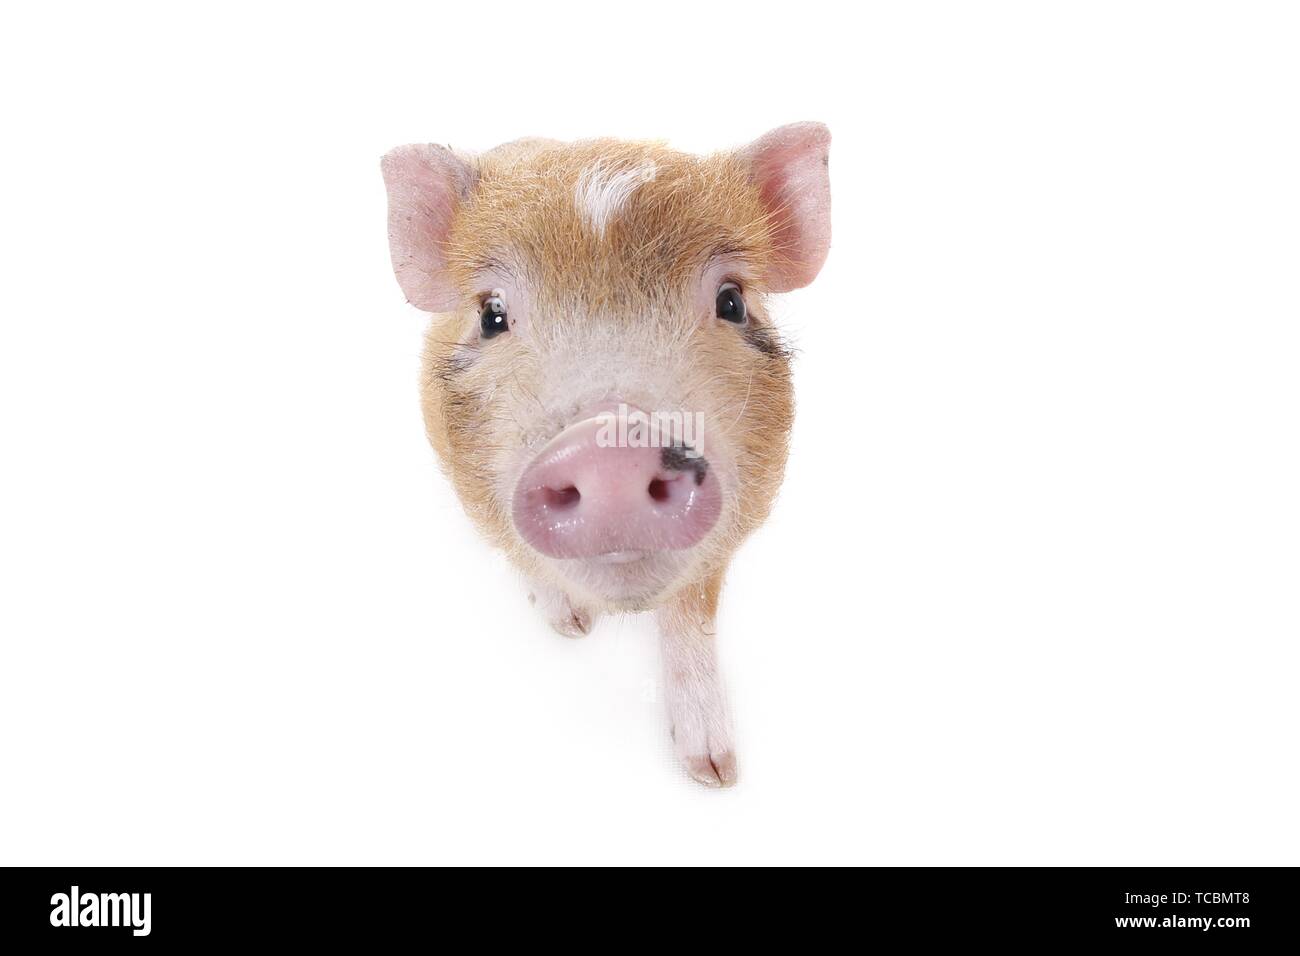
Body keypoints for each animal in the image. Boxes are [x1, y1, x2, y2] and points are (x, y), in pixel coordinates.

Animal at [380, 123, 831, 786]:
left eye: (731, 301)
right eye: (492, 314)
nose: (611, 444)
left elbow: (690, 616)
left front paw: (715, 772)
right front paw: (570, 630)